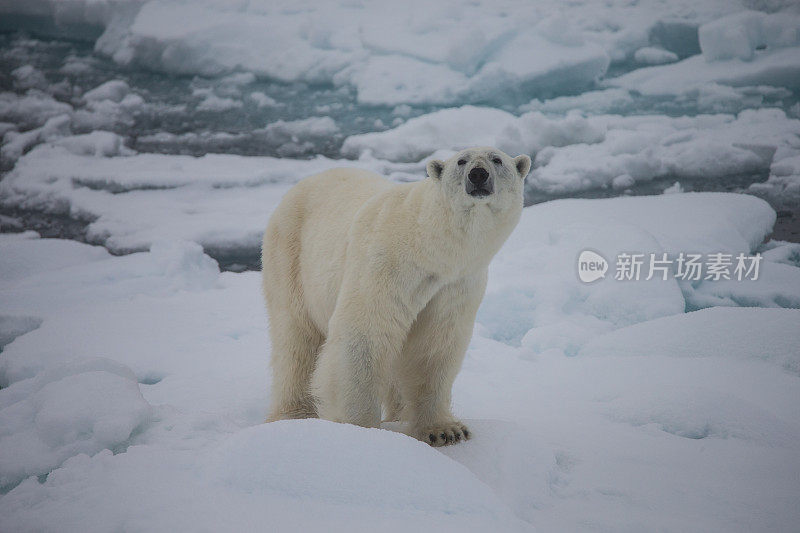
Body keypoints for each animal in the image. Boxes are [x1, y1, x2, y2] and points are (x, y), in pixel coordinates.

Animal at [262, 147, 532, 444]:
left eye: (497, 159)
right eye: (461, 161)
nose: (478, 174)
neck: (429, 245)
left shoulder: (456, 283)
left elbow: (435, 345)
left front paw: (445, 430)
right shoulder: (386, 263)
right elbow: (364, 333)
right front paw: (359, 429)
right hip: (291, 256)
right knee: (296, 338)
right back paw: (294, 415)